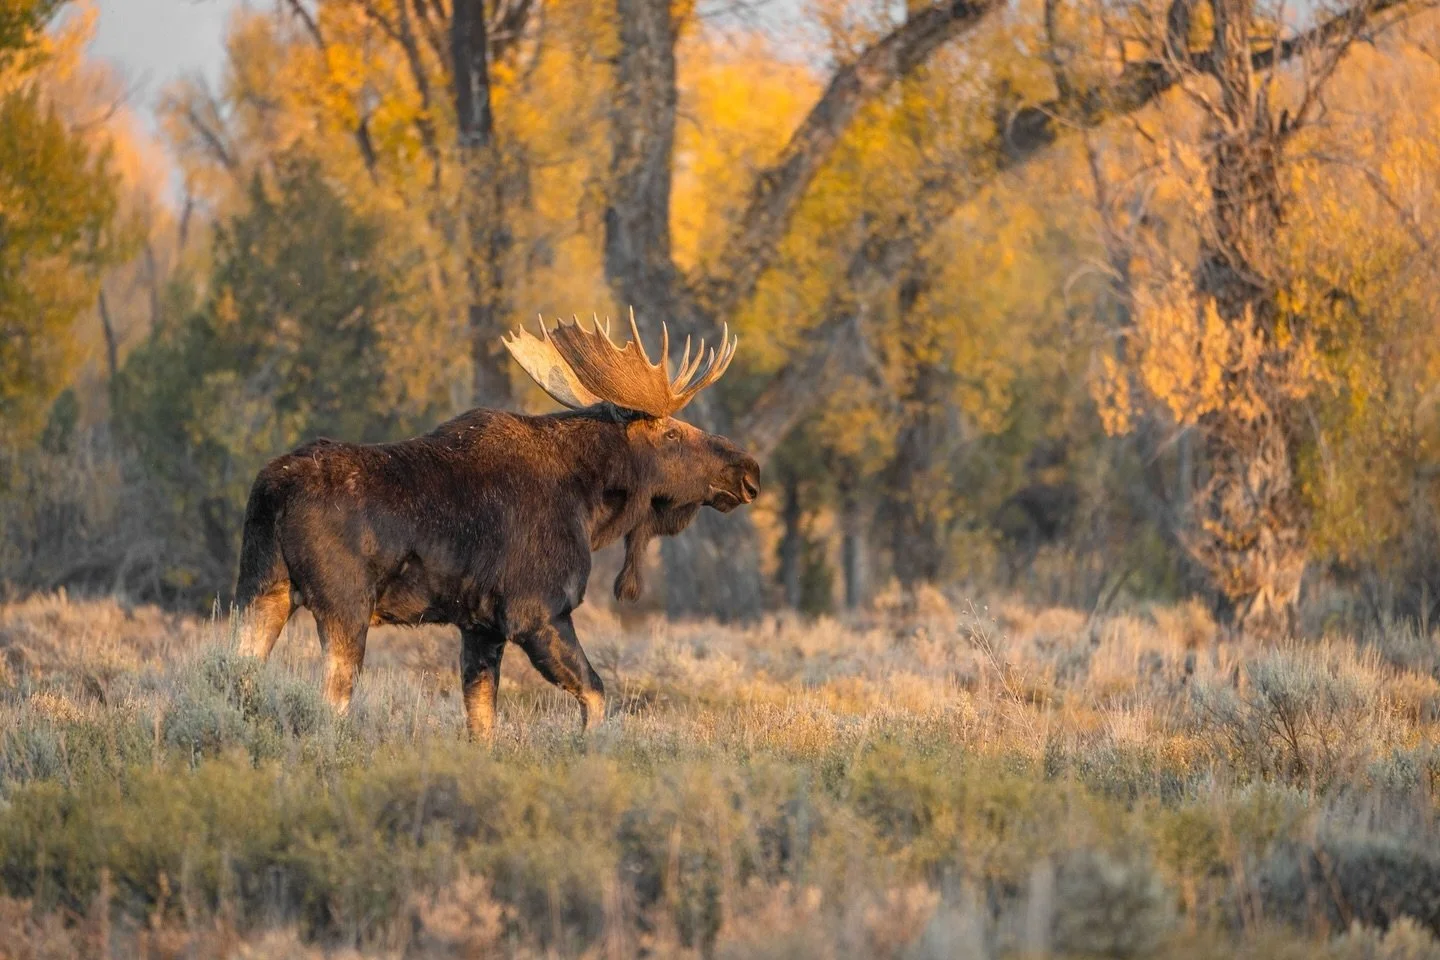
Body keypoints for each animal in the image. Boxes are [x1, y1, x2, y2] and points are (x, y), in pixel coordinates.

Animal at [232, 312, 760, 741]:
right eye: (671, 434)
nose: (749, 472)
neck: (590, 504)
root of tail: (271, 490)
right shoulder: (537, 611)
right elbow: (596, 696)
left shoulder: (480, 626)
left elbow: (482, 722)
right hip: (344, 605)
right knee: (329, 703)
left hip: (262, 588)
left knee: (237, 675)